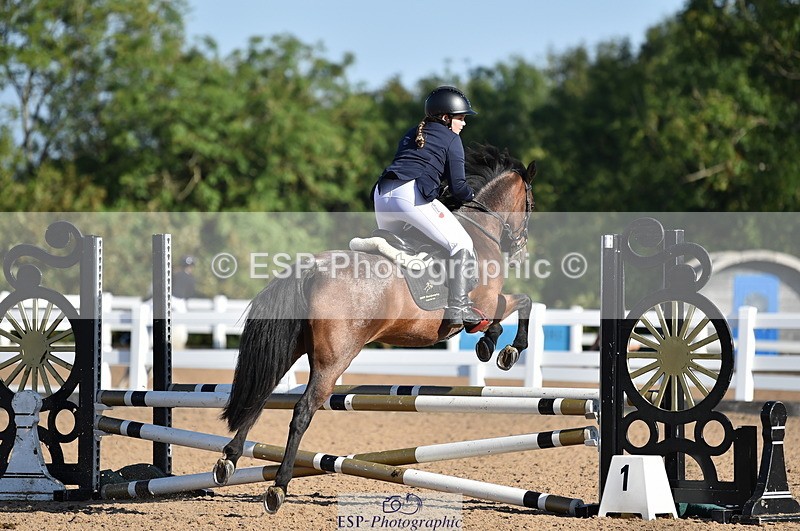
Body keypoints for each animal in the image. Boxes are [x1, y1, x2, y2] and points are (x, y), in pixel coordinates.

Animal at [212, 144, 537, 513]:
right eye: (530, 203)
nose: (521, 250)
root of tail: (311, 268)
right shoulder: (489, 301)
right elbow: (523, 303)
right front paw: (508, 350)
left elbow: (507, 314)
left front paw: (489, 345)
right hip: (335, 358)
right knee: (303, 410)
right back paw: (278, 486)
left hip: (292, 348)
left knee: (261, 395)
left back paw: (229, 459)